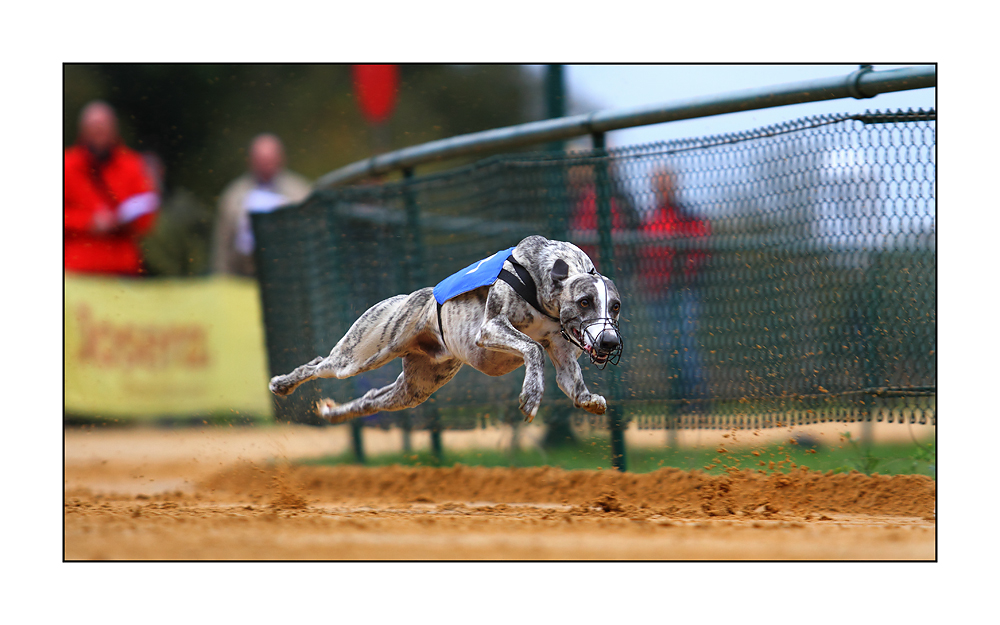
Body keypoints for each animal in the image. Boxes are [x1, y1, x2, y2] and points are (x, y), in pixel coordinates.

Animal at [270, 235, 620, 424]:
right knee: (319, 364)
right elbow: (533, 348)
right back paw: (282, 384)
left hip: (416, 387)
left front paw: (590, 400)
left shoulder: (563, 356)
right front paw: (531, 395)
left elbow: (572, 385)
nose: (609, 342)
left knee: (371, 399)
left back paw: (334, 413)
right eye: (585, 302)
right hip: (362, 355)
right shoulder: (491, 328)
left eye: (615, 306)